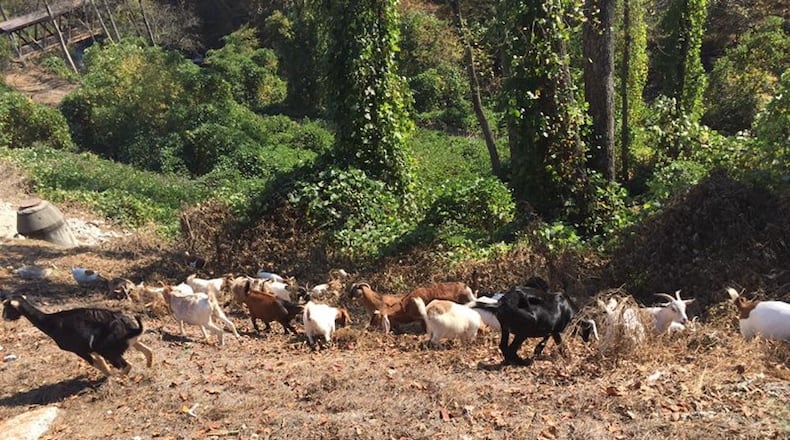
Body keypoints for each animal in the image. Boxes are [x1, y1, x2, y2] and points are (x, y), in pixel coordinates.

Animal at [1, 294, 153, 376]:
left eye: (7, 307)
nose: (4, 318)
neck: (50, 321)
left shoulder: (79, 350)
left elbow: (95, 364)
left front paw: (108, 376)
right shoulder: (89, 348)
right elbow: (100, 362)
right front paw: (108, 373)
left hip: (109, 350)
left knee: (127, 365)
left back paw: (118, 377)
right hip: (122, 344)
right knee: (146, 350)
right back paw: (149, 365)